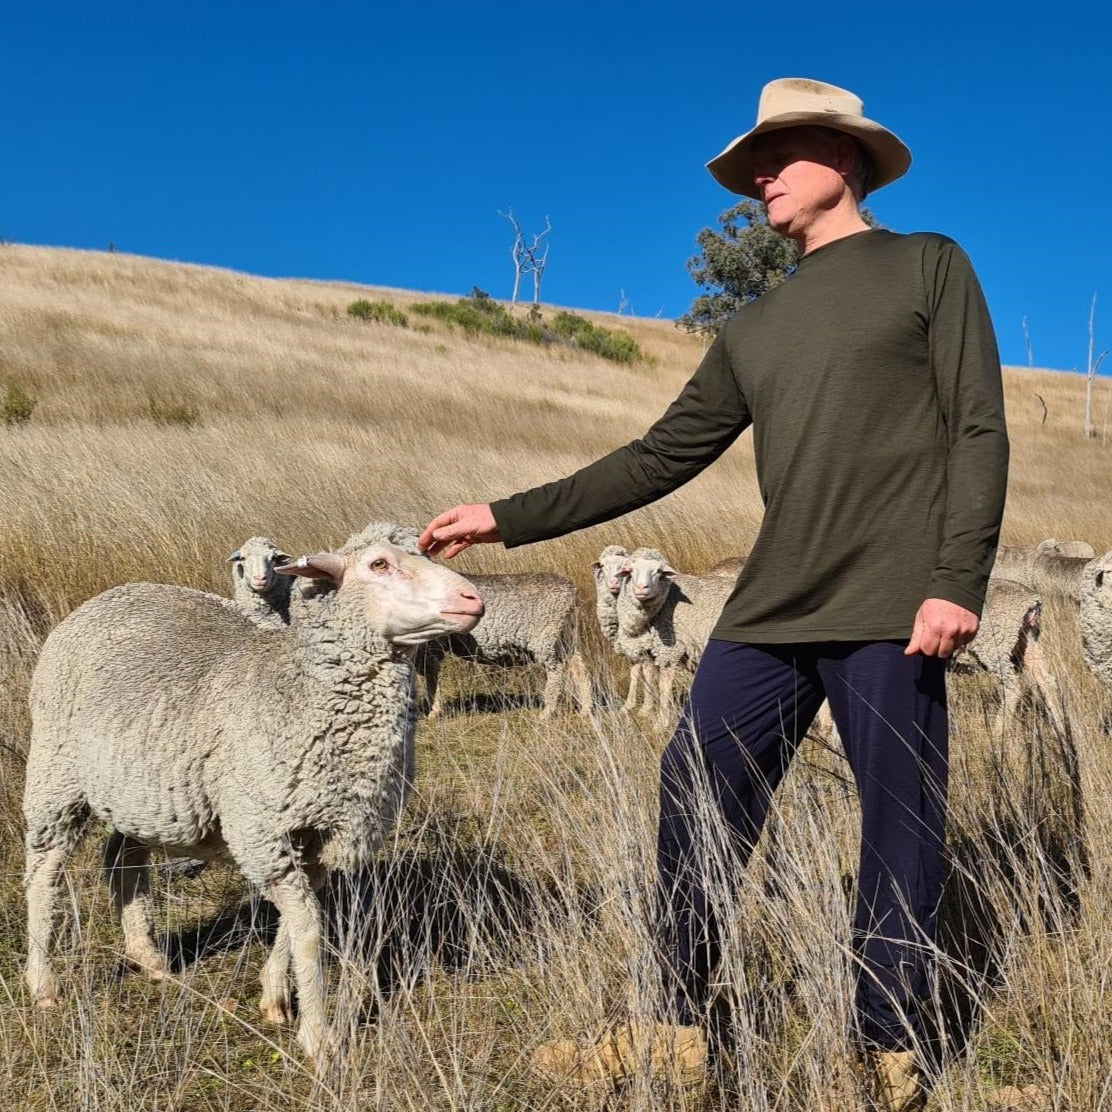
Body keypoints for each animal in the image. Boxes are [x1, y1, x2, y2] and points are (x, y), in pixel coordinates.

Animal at [21, 524, 482, 1063]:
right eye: (379, 565)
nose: (473, 598)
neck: (302, 694)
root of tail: (108, 596)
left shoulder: (321, 834)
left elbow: (301, 915)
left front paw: (275, 995)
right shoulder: (261, 828)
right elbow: (308, 924)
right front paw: (318, 1036)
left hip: (145, 788)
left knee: (121, 855)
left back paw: (147, 955)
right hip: (56, 774)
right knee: (44, 874)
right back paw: (44, 983)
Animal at [415, 569, 591, 716]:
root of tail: (571, 591)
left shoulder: (428, 647)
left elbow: (431, 677)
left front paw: (433, 711)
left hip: (546, 637)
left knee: (557, 671)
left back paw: (547, 712)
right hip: (566, 637)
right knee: (579, 669)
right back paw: (585, 709)